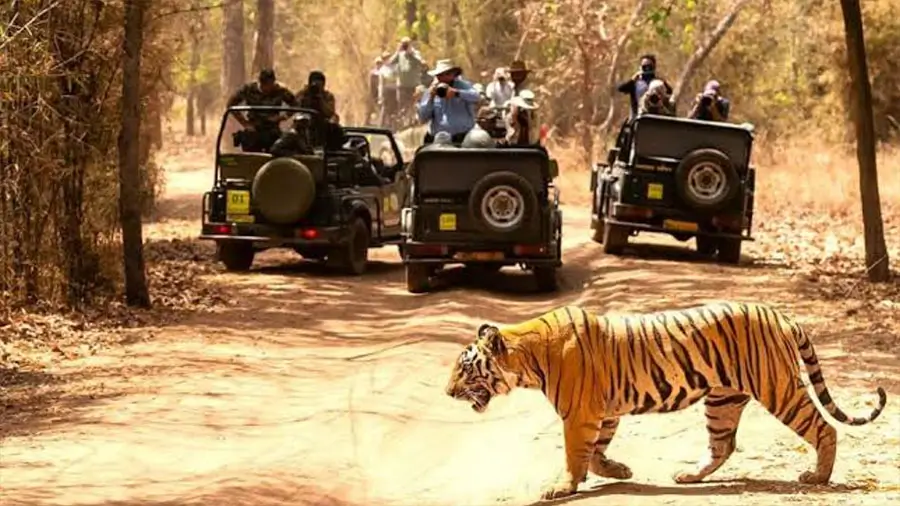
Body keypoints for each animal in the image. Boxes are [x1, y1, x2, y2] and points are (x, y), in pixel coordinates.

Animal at [444, 302, 887, 501]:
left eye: (465, 368)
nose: (447, 392)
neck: (528, 356)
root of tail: (781, 314)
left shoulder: (580, 412)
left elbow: (575, 453)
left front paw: (562, 486)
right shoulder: (604, 411)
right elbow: (596, 452)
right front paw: (619, 470)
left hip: (779, 388)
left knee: (823, 427)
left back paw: (818, 477)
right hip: (723, 400)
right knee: (723, 444)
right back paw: (689, 476)